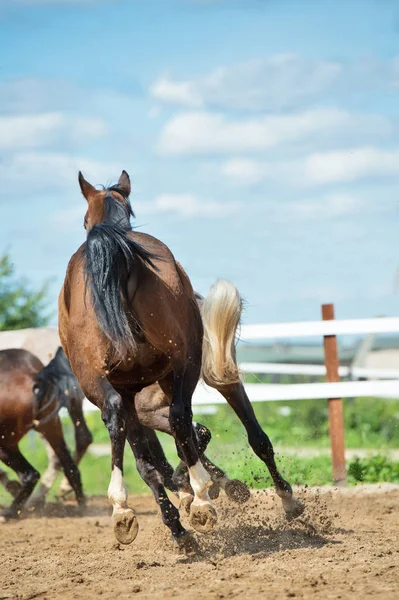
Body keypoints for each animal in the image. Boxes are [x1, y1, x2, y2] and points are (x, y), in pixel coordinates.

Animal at [0, 346, 86, 520]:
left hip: (7, 443)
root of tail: (33, 376)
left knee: (30, 474)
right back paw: (81, 507)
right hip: (50, 426)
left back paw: (11, 511)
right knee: (69, 466)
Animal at [58, 170, 304, 552]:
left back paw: (149, 507)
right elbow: (180, 444)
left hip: (122, 381)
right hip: (170, 375)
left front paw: (193, 492)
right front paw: (197, 492)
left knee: (150, 428)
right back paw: (189, 501)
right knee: (180, 428)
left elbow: (168, 449)